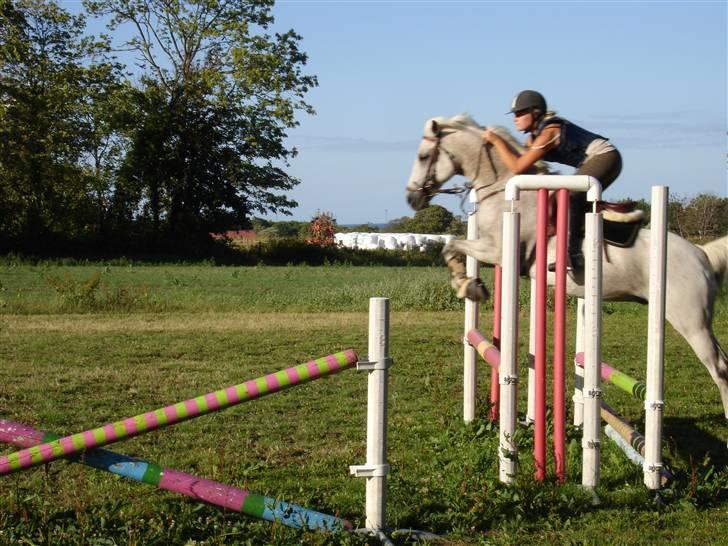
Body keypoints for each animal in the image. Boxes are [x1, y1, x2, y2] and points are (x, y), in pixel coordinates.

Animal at [404, 113, 728, 420]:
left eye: (423, 156)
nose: (412, 197)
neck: (500, 190)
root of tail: (701, 254)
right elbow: (451, 246)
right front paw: (470, 285)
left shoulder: (497, 250)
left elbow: (452, 246)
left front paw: (468, 286)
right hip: (697, 319)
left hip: (690, 320)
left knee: (719, 367)